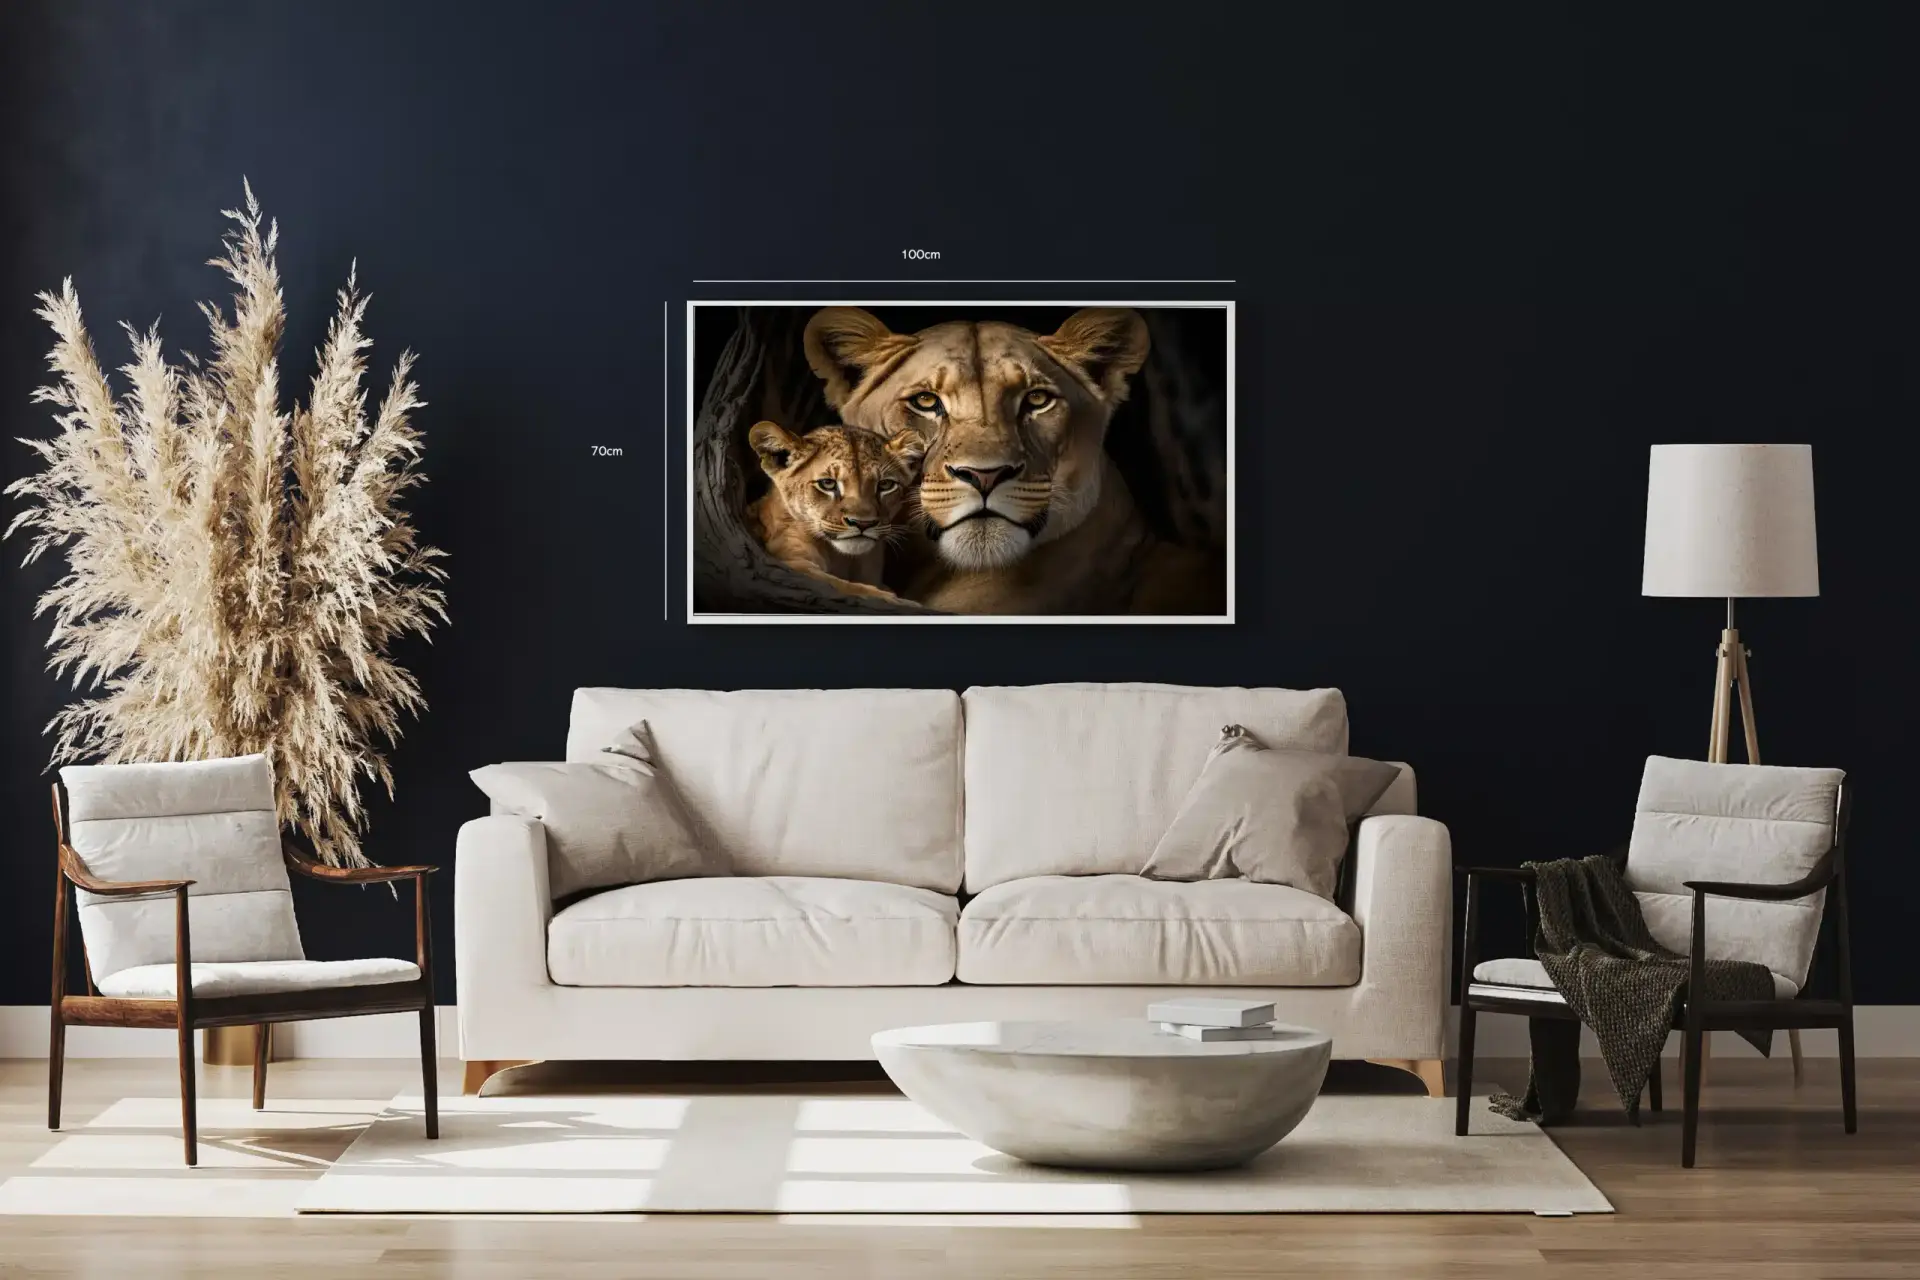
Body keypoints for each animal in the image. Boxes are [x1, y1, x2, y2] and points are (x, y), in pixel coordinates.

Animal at [745, 420, 926, 601]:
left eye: (885, 485)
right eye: (827, 483)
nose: (863, 523)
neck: (843, 559)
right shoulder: (789, 561)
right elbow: (843, 585)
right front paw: (896, 600)